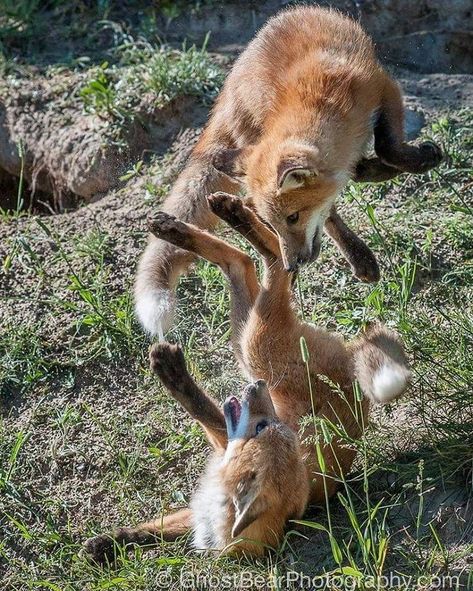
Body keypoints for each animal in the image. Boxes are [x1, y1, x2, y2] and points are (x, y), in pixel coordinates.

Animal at [135, 4, 440, 340]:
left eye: (293, 217)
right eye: (272, 223)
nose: (293, 264)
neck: (325, 102)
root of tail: (229, 86)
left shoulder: (383, 87)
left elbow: (387, 146)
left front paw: (412, 160)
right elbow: (352, 182)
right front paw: (420, 160)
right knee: (331, 213)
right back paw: (359, 254)